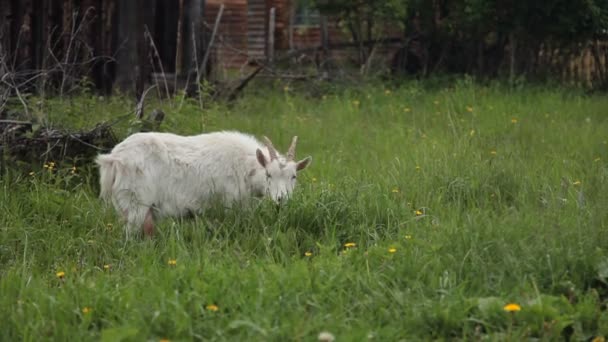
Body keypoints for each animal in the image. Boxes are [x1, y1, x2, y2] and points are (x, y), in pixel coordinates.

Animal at [96, 131, 314, 238]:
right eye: (269, 174)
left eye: (294, 176)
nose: (281, 199)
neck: (246, 167)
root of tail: (113, 159)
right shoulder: (230, 206)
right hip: (136, 203)